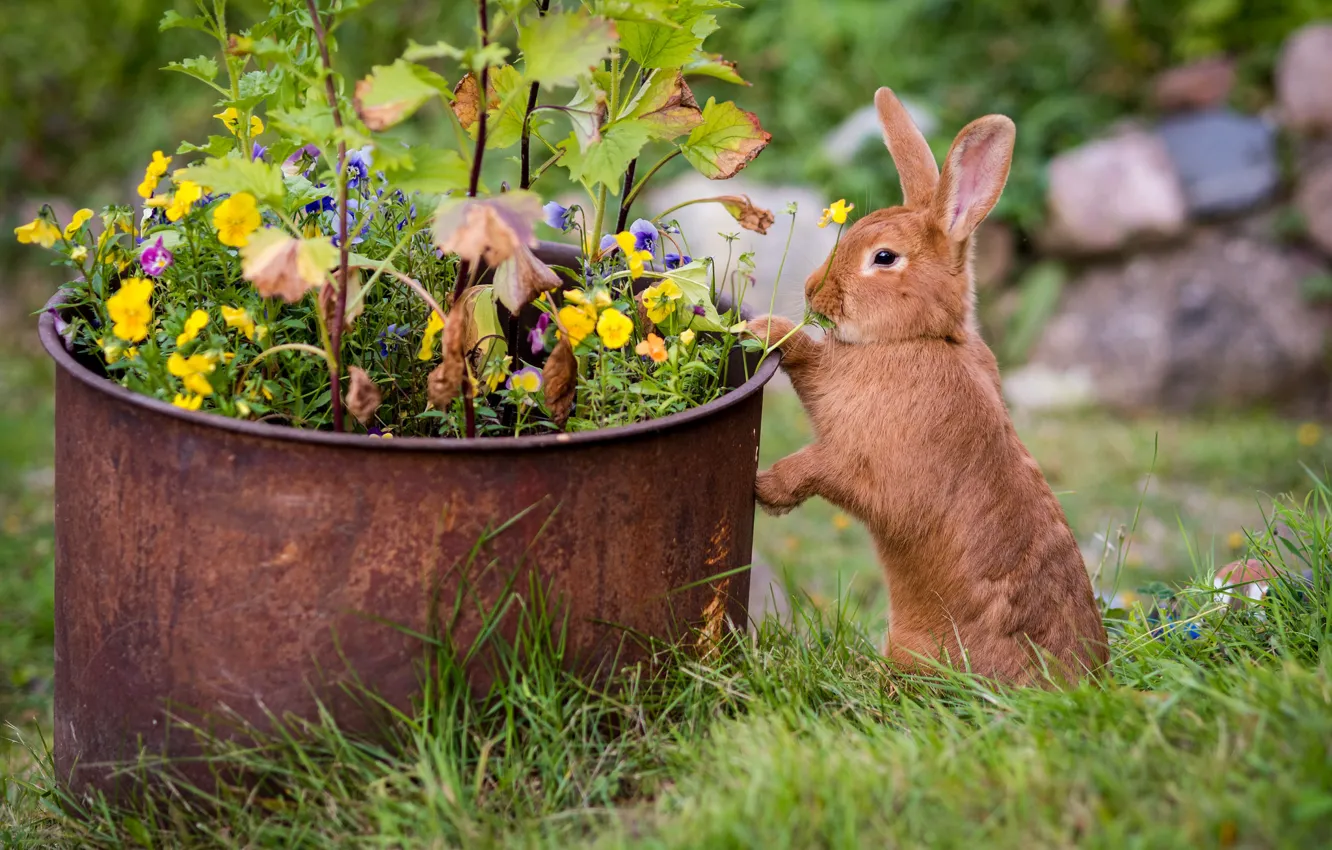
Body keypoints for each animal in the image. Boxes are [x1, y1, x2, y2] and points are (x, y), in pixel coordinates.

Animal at [750, 88, 1109, 686]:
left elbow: (813, 460)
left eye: (884, 258)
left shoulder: (855, 457)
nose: (812, 292)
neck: (923, 336)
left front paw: (764, 487)